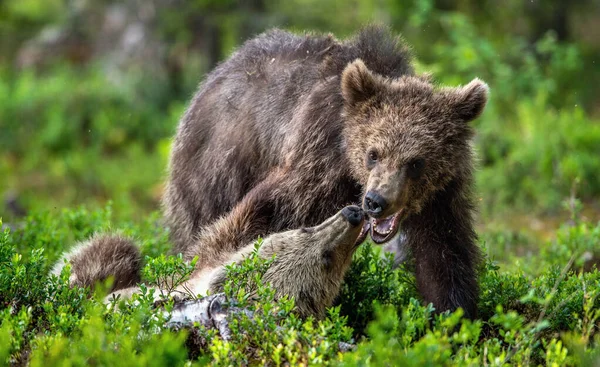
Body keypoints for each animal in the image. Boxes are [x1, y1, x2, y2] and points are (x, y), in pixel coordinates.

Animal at [163, 25, 488, 320]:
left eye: (416, 162)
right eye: (373, 154)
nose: (375, 202)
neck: (350, 168)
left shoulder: (441, 195)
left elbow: (443, 255)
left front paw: (454, 317)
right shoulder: (317, 159)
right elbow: (273, 217)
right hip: (216, 169)